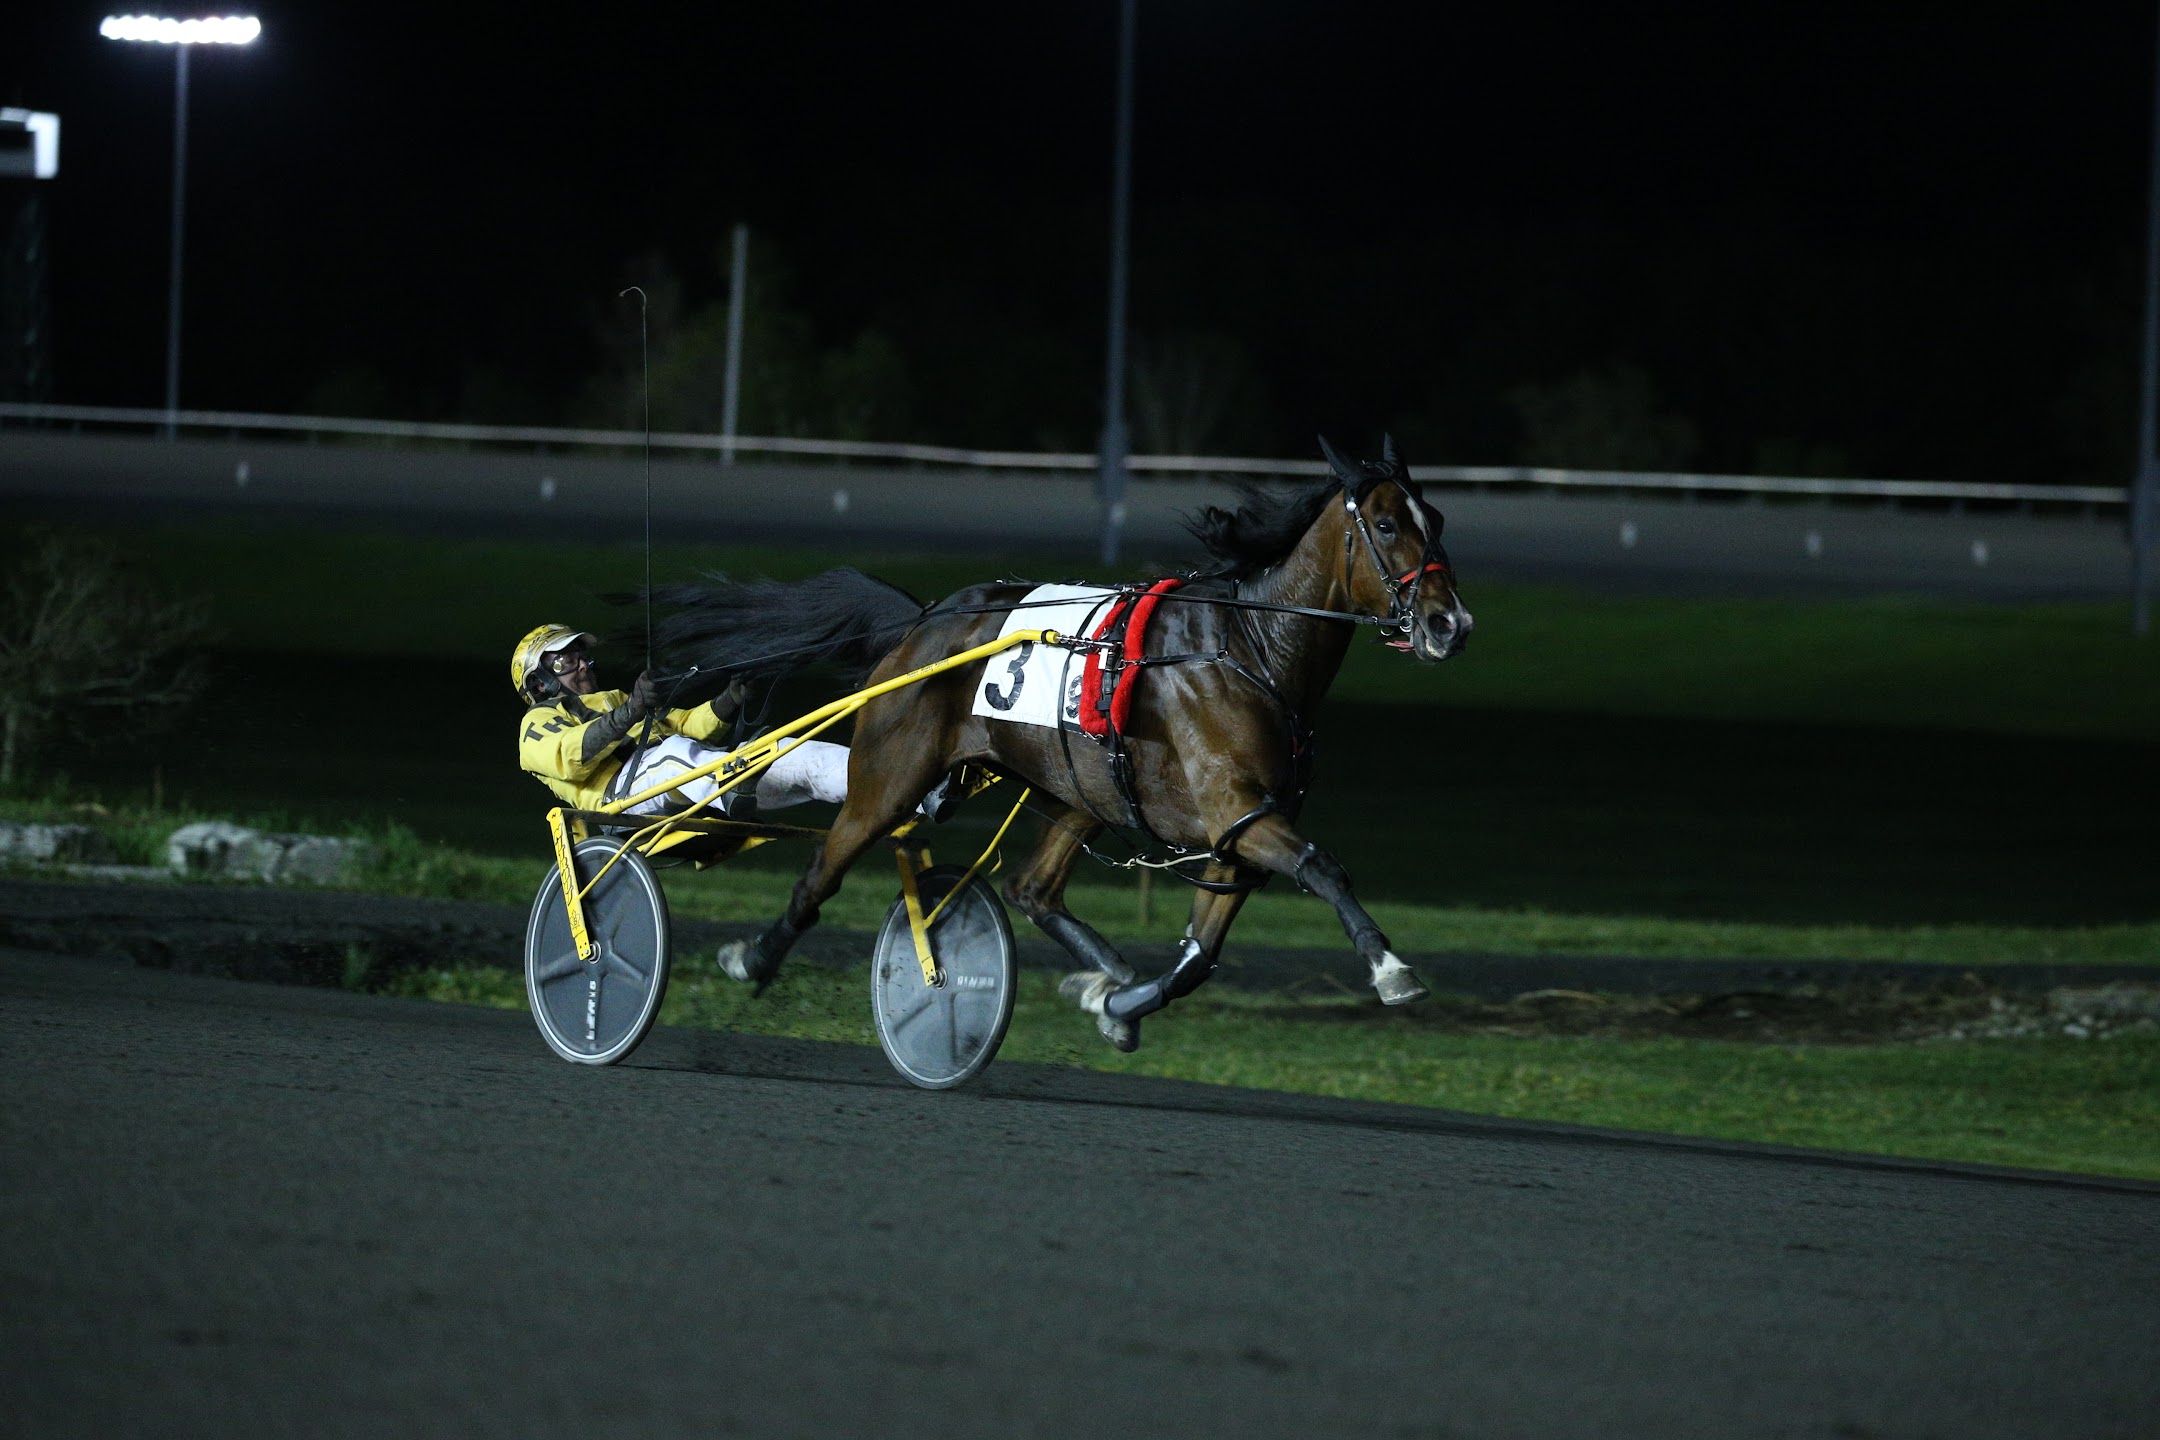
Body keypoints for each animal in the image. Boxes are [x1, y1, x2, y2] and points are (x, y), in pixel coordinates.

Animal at [651, 437, 1473, 1051]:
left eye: (1435, 517)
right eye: (1388, 526)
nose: (1450, 625)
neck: (1250, 649)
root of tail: (923, 621)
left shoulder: (1238, 831)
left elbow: (1199, 958)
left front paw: (1118, 1004)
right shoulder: (1237, 813)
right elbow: (1323, 867)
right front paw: (1391, 968)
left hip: (1086, 787)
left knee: (1032, 889)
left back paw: (1105, 972)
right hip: (890, 775)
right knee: (824, 868)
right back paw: (753, 956)